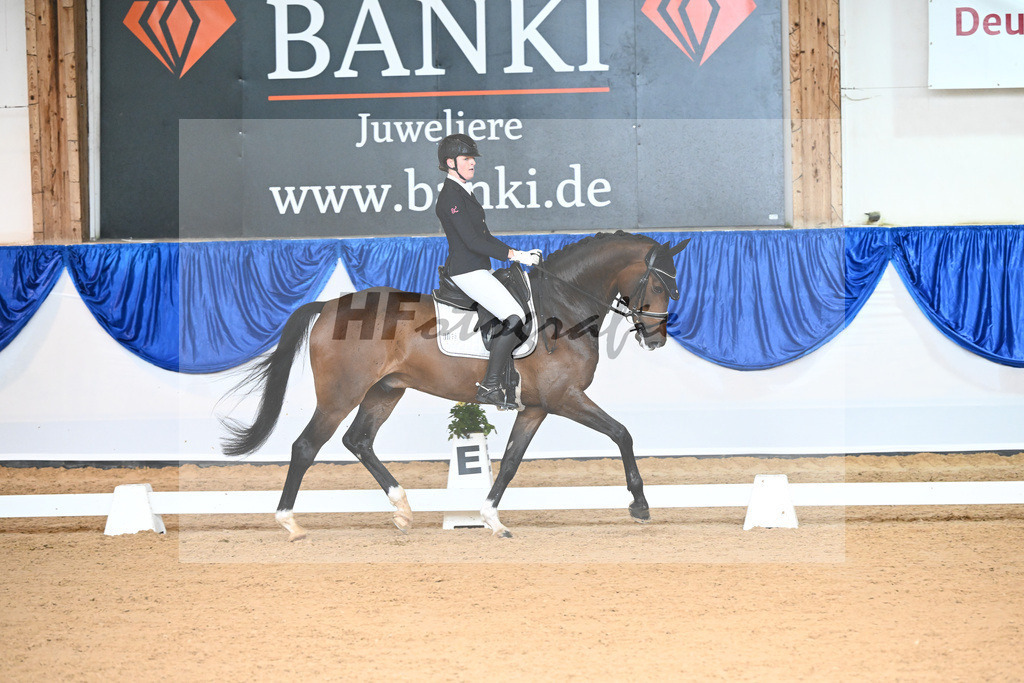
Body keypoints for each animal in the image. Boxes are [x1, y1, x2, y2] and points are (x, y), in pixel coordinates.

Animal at [221, 231, 687, 540]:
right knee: (306, 446)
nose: (656, 339)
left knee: (358, 441)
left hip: (385, 390)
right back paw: (290, 522)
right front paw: (640, 504)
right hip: (341, 394)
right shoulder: (565, 398)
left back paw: (403, 510)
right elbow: (622, 433)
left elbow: (511, 461)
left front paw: (491, 518)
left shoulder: (536, 407)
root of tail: (329, 305)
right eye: (658, 284)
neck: (564, 304)